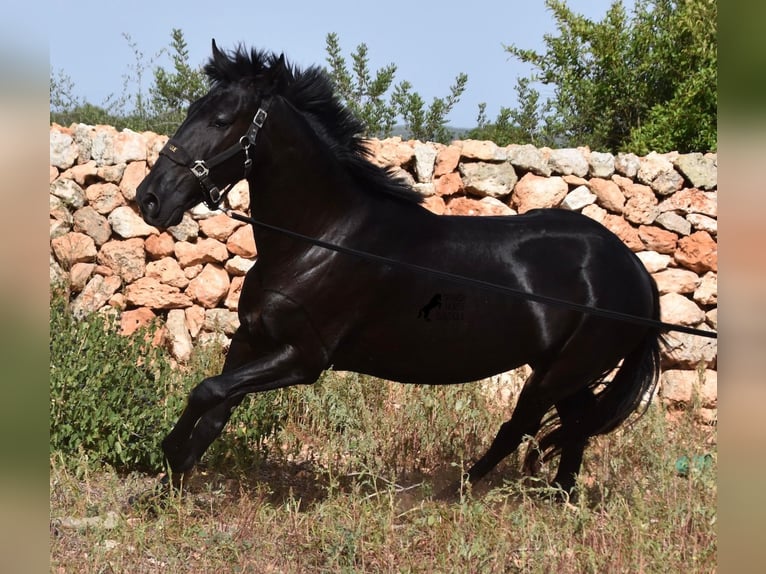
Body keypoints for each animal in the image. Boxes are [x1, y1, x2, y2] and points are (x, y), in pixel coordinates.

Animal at [135, 42, 664, 498]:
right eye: (192, 109)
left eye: (221, 119)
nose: (150, 199)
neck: (320, 241)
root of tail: (635, 270)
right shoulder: (252, 338)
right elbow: (216, 407)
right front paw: (169, 482)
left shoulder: (303, 358)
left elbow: (206, 391)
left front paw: (167, 457)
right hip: (563, 370)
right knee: (574, 425)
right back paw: (559, 495)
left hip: (562, 371)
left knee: (524, 425)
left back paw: (457, 492)